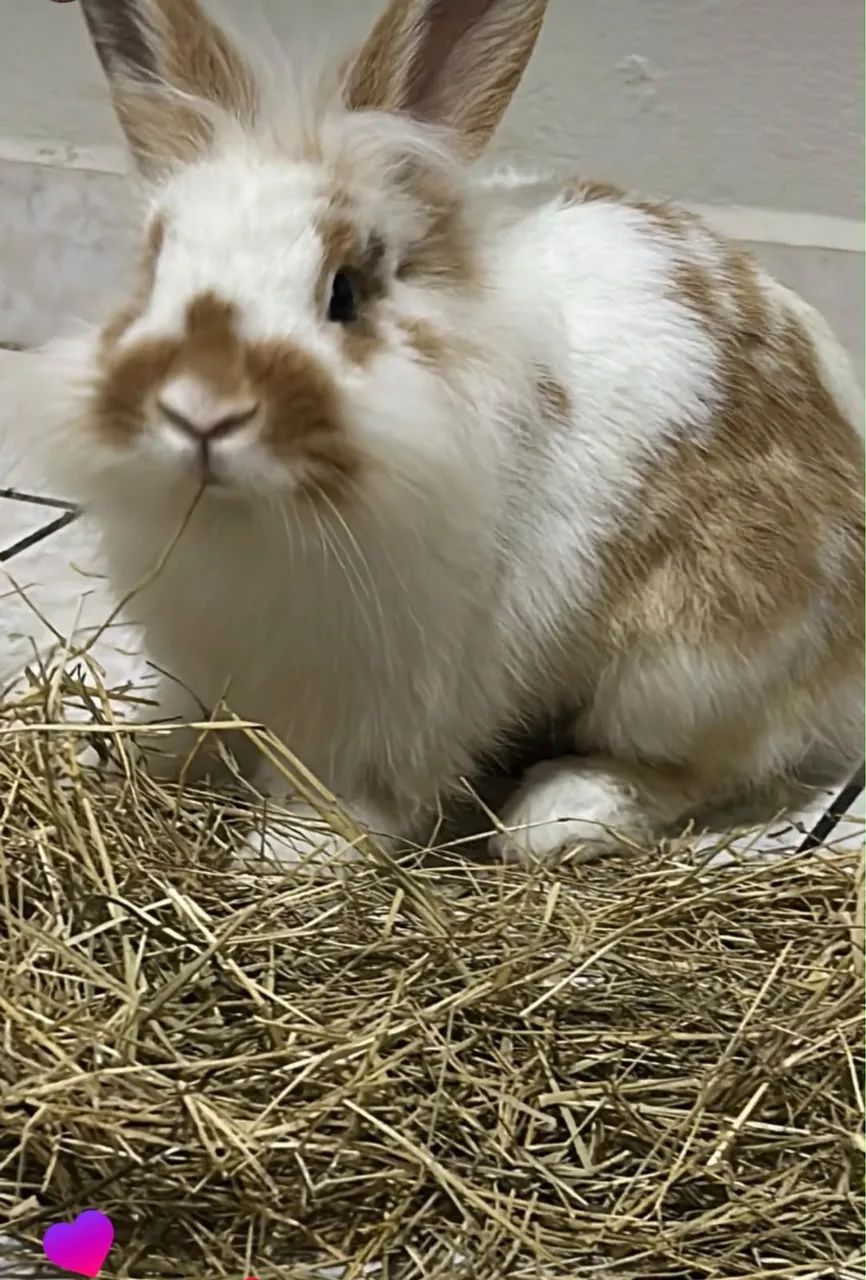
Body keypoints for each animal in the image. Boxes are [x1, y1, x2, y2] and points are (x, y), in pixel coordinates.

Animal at [11, 0, 863, 864]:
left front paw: (288, 852)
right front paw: (149, 757)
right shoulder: (207, 661)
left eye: (346, 292)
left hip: (682, 666)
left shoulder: (394, 695)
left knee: (712, 763)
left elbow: (352, 789)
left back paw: (556, 814)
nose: (200, 411)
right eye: (152, 271)